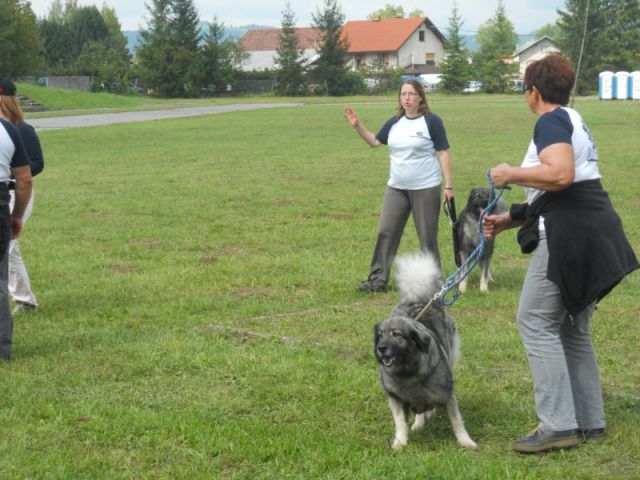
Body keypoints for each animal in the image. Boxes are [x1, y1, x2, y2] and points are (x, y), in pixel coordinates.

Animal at [376, 255, 476, 450]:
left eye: (396, 334)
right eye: (380, 335)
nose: (380, 348)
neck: (409, 372)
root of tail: (418, 297)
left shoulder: (447, 393)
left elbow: (456, 420)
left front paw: (465, 441)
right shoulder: (395, 398)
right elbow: (400, 422)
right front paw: (400, 442)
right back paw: (419, 423)